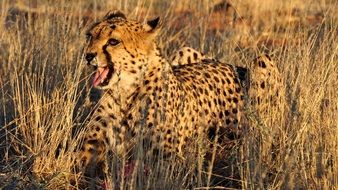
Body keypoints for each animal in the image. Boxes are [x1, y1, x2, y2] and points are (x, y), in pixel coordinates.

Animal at [78, 10, 244, 180]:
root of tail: (228, 65)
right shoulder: (90, 145)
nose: (88, 56)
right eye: (90, 36)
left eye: (113, 41)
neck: (125, 92)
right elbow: (77, 162)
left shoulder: (168, 158)